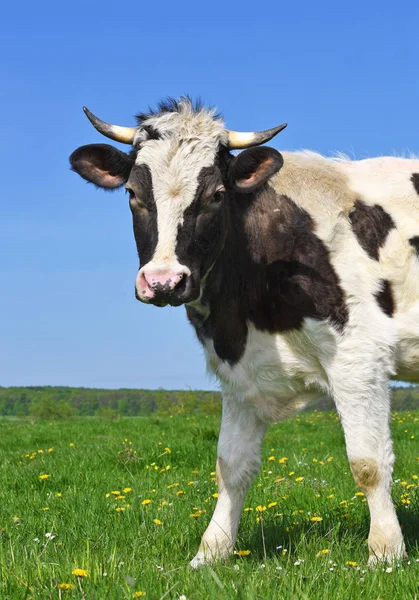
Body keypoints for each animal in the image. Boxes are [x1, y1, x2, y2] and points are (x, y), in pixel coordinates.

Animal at [69, 96, 419, 564]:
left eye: (217, 195)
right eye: (132, 194)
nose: (163, 282)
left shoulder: (359, 357)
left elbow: (368, 464)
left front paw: (385, 552)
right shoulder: (238, 373)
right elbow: (230, 467)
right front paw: (211, 552)